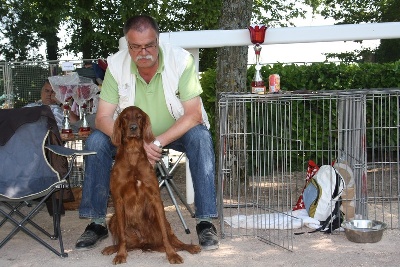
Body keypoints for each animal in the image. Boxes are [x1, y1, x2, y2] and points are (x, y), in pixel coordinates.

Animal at [100, 107, 200, 266]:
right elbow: (122, 236)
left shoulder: (155, 198)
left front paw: (171, 254)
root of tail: (143, 241)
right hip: (113, 219)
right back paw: (112, 248)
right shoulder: (118, 199)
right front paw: (120, 254)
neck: (133, 152)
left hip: (161, 220)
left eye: (139, 116)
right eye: (125, 117)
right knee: (127, 242)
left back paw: (190, 247)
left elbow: (165, 236)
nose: (133, 127)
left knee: (175, 240)